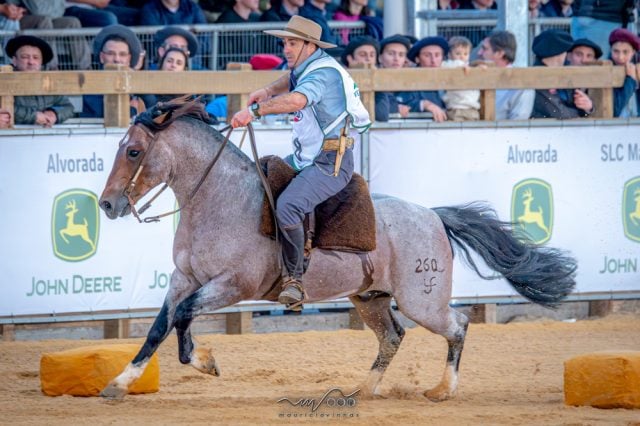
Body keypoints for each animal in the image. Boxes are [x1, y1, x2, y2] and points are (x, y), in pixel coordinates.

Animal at [98, 99, 577, 400]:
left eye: (134, 150)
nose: (107, 204)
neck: (220, 198)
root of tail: (434, 216)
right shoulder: (184, 280)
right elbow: (159, 328)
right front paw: (120, 382)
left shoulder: (231, 286)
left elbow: (182, 318)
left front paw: (204, 361)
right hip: (370, 299)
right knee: (392, 336)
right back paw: (362, 391)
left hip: (422, 301)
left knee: (457, 325)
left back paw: (442, 390)